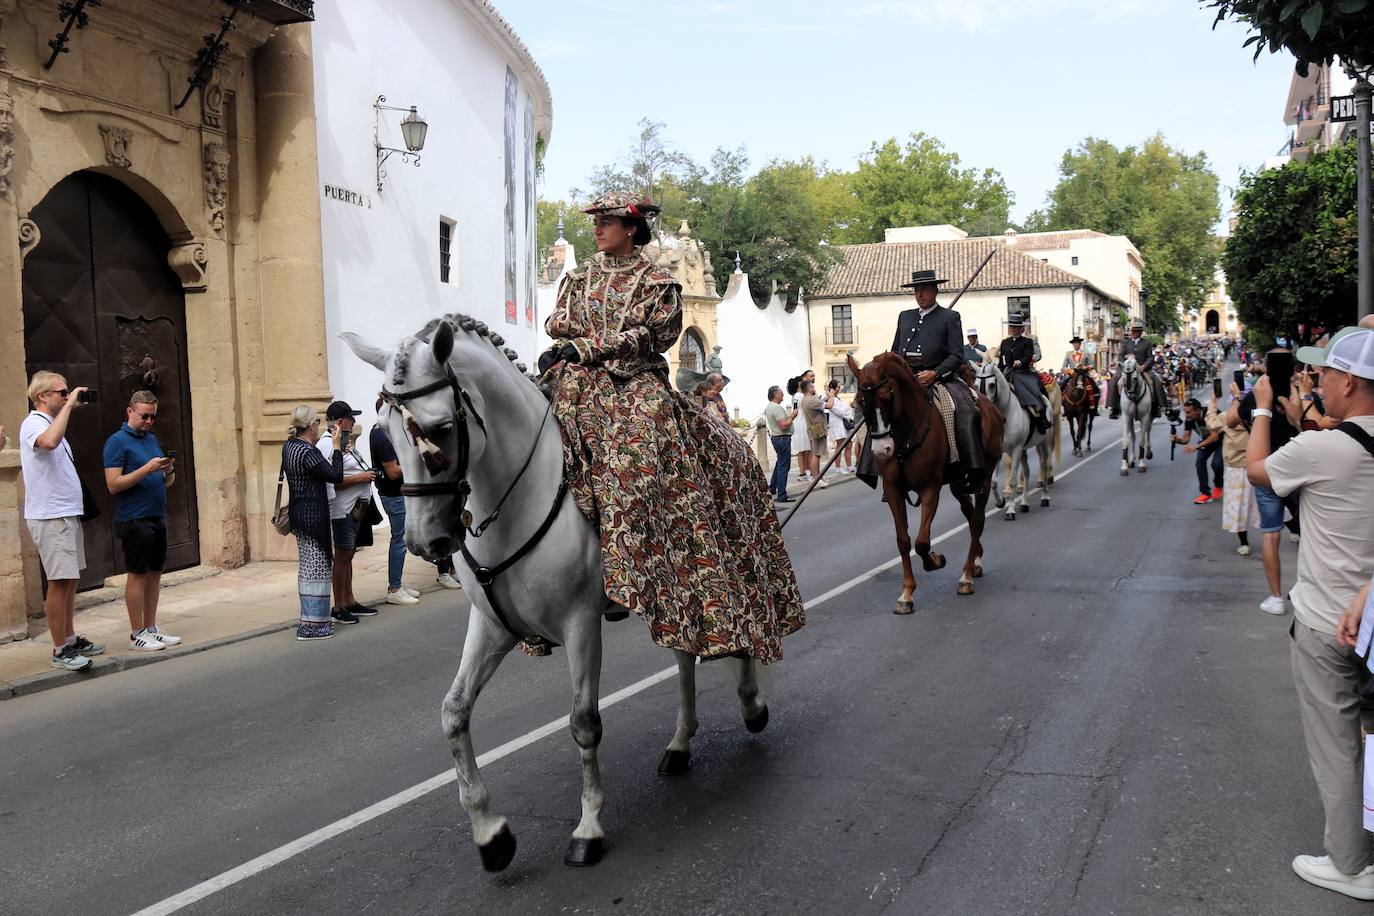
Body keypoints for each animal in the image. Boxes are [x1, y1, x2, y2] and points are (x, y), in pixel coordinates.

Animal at [840, 354, 1005, 615]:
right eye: (859, 400)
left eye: (886, 397)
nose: (882, 450)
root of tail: (992, 408)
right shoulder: (894, 491)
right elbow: (903, 541)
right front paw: (906, 594)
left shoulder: (930, 489)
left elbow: (922, 543)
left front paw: (936, 561)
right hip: (958, 483)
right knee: (969, 516)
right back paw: (976, 560)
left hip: (985, 476)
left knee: (978, 519)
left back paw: (966, 576)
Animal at [972, 359, 1055, 519]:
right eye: (976, 384)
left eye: (992, 385)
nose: (983, 407)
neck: (1003, 415)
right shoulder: (998, 452)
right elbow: (993, 482)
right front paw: (1000, 502)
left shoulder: (1015, 450)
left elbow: (1012, 481)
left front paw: (1010, 510)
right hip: (1023, 450)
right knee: (1027, 471)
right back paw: (1024, 503)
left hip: (1043, 443)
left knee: (1043, 465)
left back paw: (1045, 498)